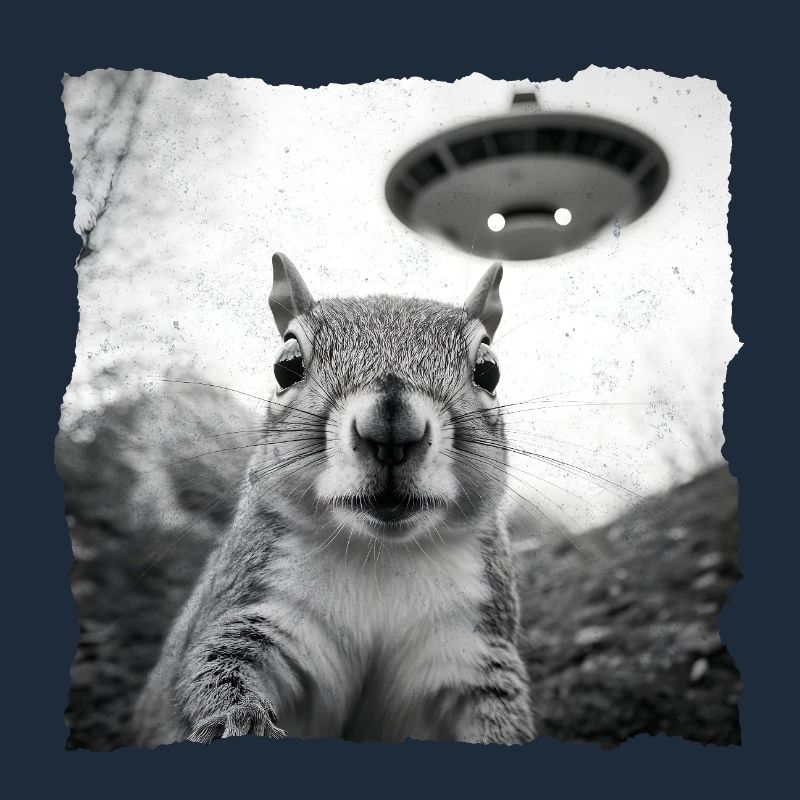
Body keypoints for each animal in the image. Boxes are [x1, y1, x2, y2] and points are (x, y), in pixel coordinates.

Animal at [133, 252, 536, 746]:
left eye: (488, 370)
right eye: (286, 366)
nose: (391, 427)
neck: (381, 554)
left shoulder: (468, 649)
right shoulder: (260, 607)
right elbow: (216, 666)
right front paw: (238, 721)